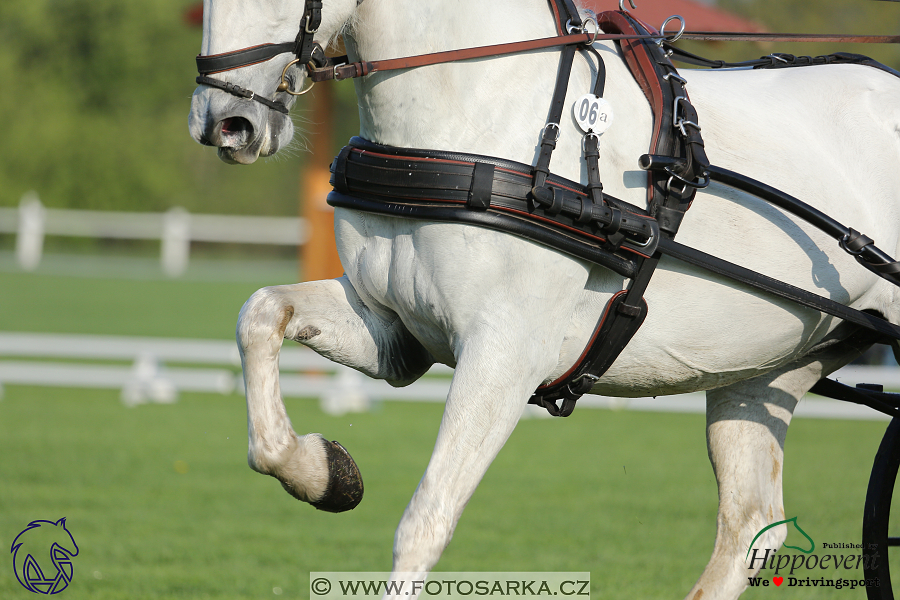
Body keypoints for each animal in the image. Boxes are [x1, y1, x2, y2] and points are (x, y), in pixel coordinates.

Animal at [186, 2, 896, 596]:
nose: (226, 122)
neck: (482, 115)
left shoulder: (505, 355)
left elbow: (427, 518)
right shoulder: (395, 333)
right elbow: (261, 318)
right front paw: (323, 473)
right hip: (761, 372)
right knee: (750, 527)